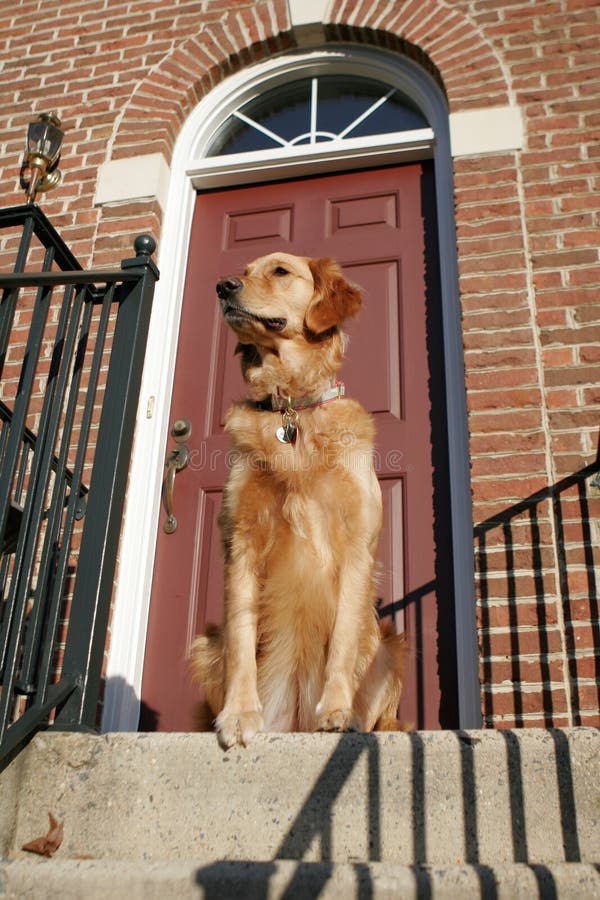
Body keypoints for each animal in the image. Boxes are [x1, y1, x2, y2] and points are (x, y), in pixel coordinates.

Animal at [191, 251, 408, 744]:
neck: (292, 407)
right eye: (245, 271)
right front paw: (239, 715)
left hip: (389, 644)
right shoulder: (241, 543)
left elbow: (343, 639)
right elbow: (242, 640)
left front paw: (336, 710)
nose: (222, 286)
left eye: (280, 271)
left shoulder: (356, 547)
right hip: (206, 644)